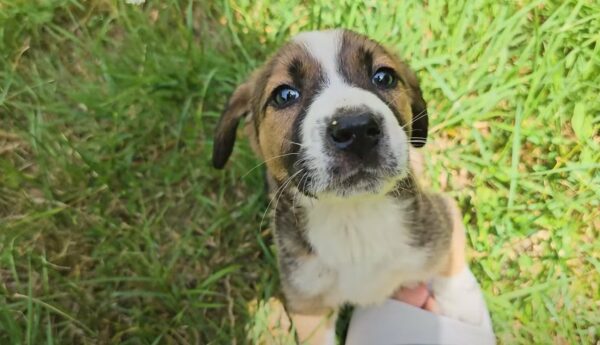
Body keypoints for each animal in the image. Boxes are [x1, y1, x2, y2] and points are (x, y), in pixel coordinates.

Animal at [213, 28, 480, 342]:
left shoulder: (441, 218)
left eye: (384, 77)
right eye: (285, 95)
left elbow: (451, 263)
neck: (353, 218)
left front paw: (464, 309)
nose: (357, 129)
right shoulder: (309, 306)